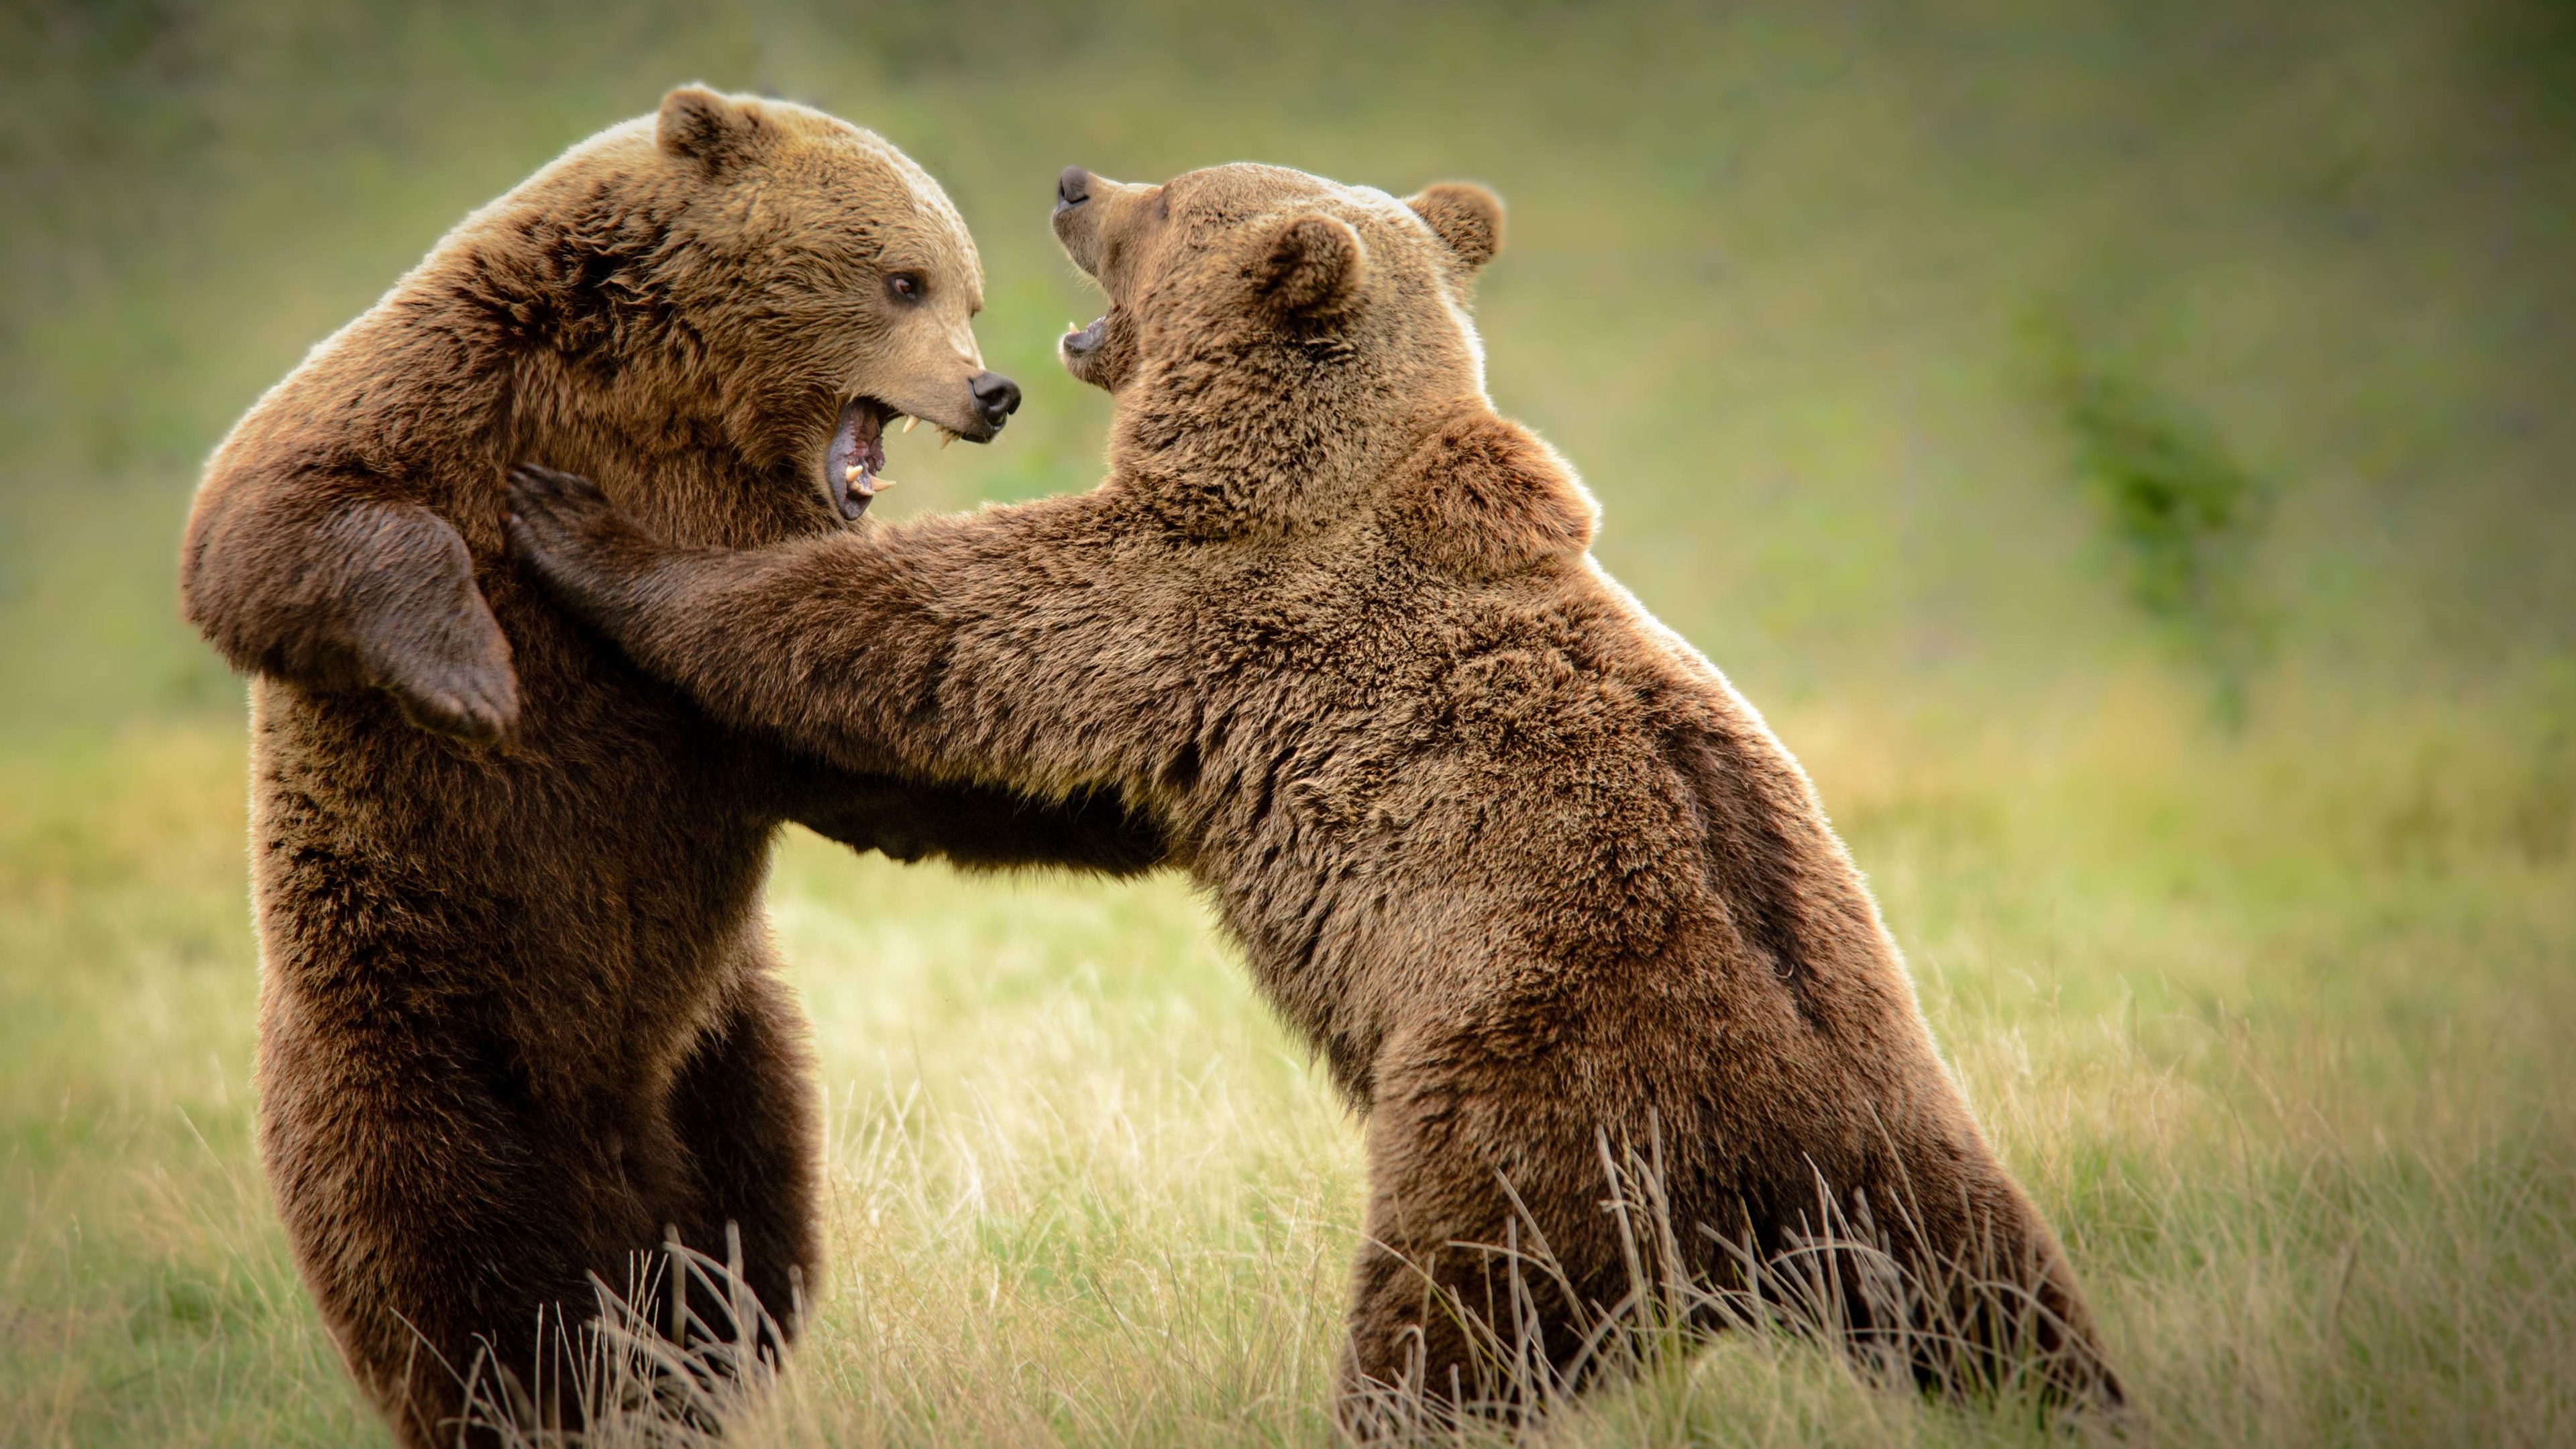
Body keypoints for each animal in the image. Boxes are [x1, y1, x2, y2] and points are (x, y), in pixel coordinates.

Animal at [176, 88, 1161, 1447]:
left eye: (961, 289)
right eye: (904, 278)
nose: (992, 387)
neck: (674, 401)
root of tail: (607, 1145)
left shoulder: (754, 543)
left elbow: (850, 720)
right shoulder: (449, 388)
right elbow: (271, 517)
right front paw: (473, 677)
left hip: (727, 1061)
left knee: (745, 1258)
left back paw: (680, 1373)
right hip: (415, 1025)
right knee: (450, 1260)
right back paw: (533, 1390)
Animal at [501, 161, 2126, 1427]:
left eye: (1177, 200)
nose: (1075, 182)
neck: (1291, 460)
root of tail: (1789, 1156)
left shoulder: (1201, 601)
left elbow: (936, 635)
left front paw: (585, 533)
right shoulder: (1204, 700)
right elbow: (1058, 794)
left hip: (1531, 1113)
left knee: (1446, 1334)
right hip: (1924, 1171)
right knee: (2004, 1322)